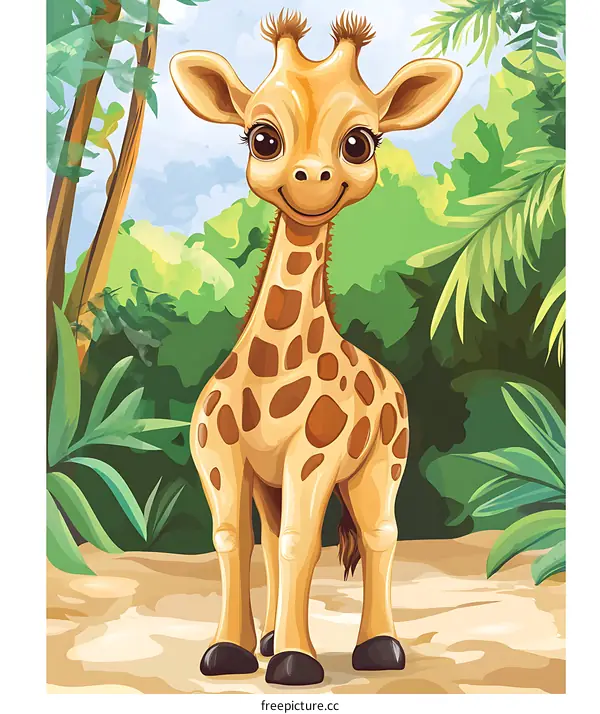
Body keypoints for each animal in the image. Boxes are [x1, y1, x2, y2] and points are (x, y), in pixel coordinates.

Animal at [170, 10, 461, 686]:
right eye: (262, 136)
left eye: (360, 141)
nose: (310, 178)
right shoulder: (220, 454)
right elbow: (236, 539)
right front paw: (229, 653)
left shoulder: (316, 452)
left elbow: (303, 540)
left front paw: (296, 664)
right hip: (273, 480)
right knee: (276, 538)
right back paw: (270, 638)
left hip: (384, 463)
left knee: (381, 533)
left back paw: (379, 648)